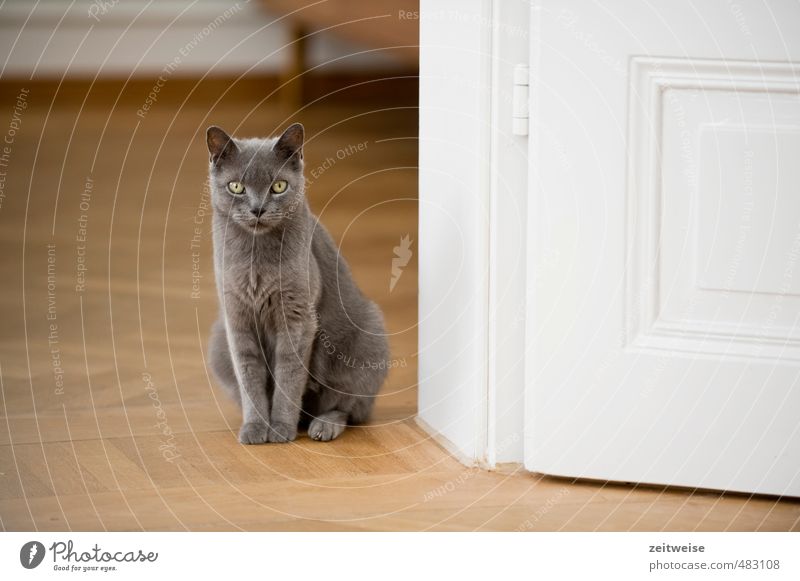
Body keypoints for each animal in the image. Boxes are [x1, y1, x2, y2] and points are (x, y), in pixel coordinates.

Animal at [205, 121, 390, 440]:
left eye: (278, 186)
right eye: (236, 187)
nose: (257, 209)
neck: (255, 255)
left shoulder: (297, 315)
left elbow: (289, 375)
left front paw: (280, 428)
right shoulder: (236, 315)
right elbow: (249, 376)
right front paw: (255, 428)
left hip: (368, 336)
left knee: (350, 407)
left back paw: (323, 426)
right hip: (218, 343)